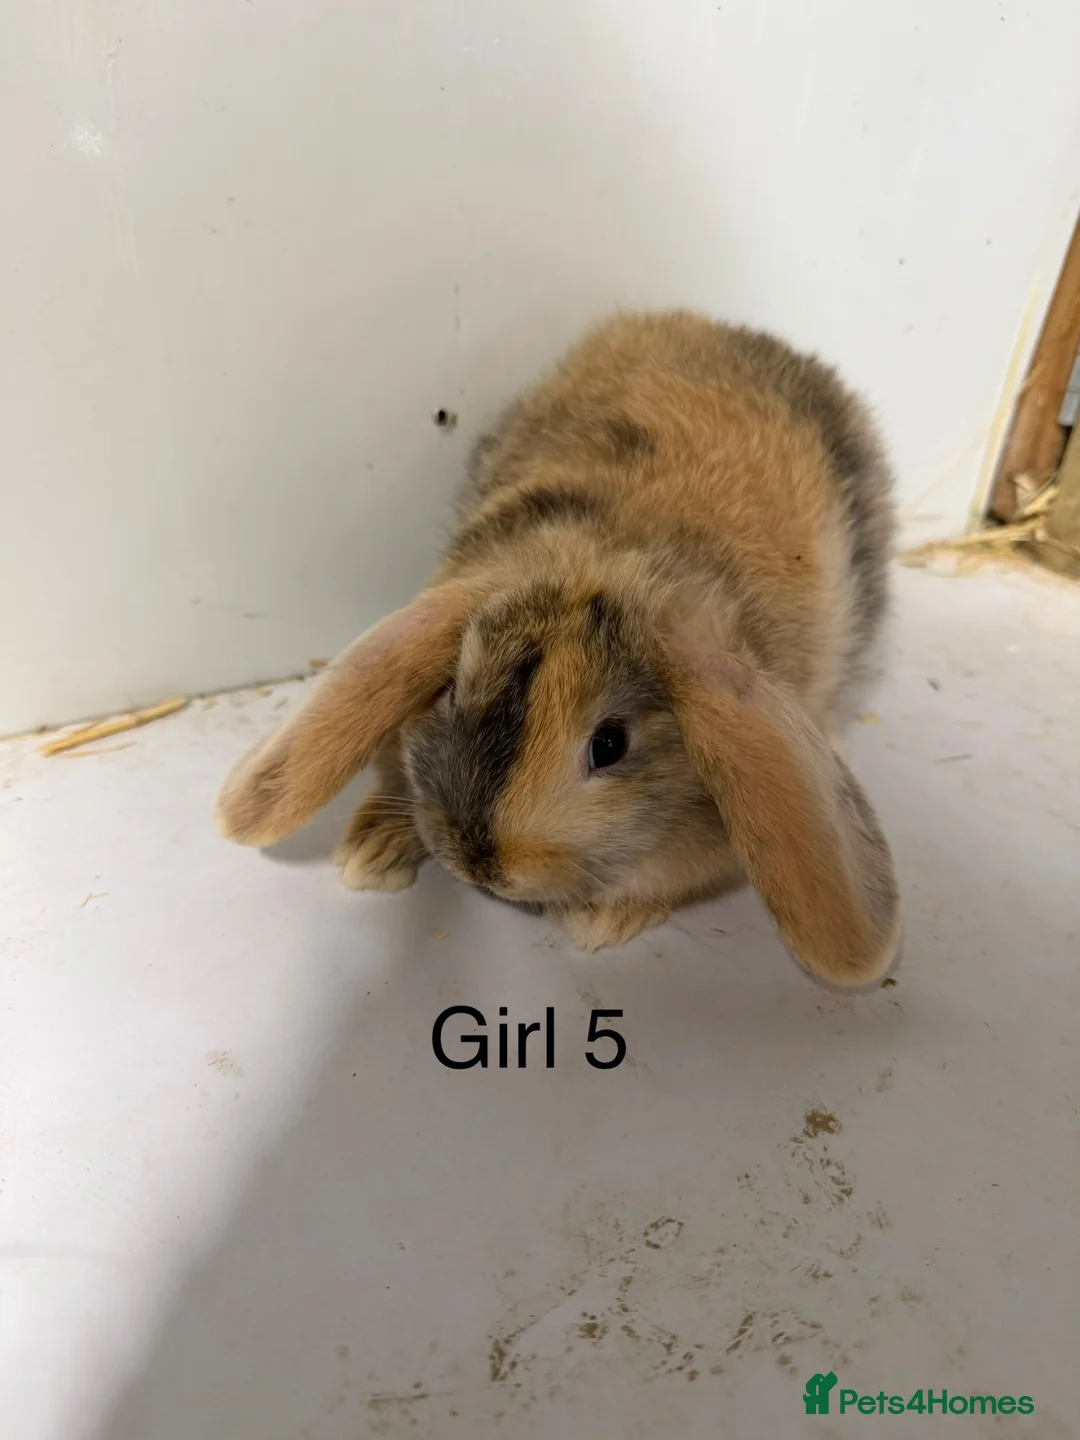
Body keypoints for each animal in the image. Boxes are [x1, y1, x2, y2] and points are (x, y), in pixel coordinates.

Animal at [215, 310, 899, 987]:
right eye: (452, 691)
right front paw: (371, 853)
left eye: (610, 744)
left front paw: (603, 922)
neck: (602, 560)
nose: (481, 867)